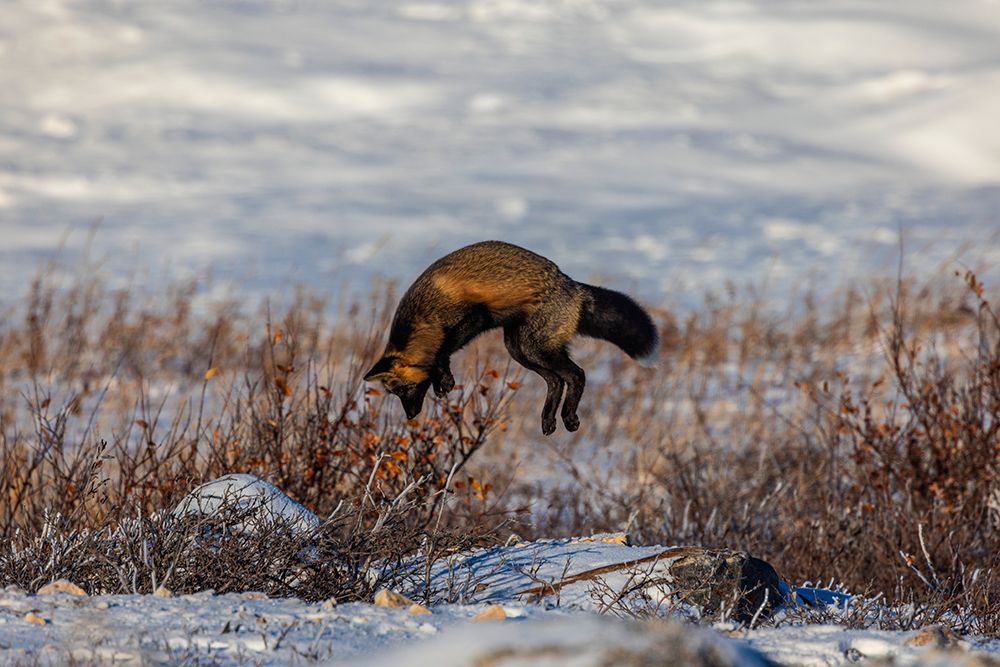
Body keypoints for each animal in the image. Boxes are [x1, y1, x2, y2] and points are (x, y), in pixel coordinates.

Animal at [364, 240, 658, 435]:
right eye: (395, 394)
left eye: (402, 390)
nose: (410, 416)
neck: (425, 317)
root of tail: (573, 287)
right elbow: (440, 356)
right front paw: (442, 381)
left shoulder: (475, 317)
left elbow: (443, 350)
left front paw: (443, 380)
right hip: (518, 348)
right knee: (555, 381)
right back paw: (548, 420)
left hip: (533, 346)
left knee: (576, 375)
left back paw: (569, 417)